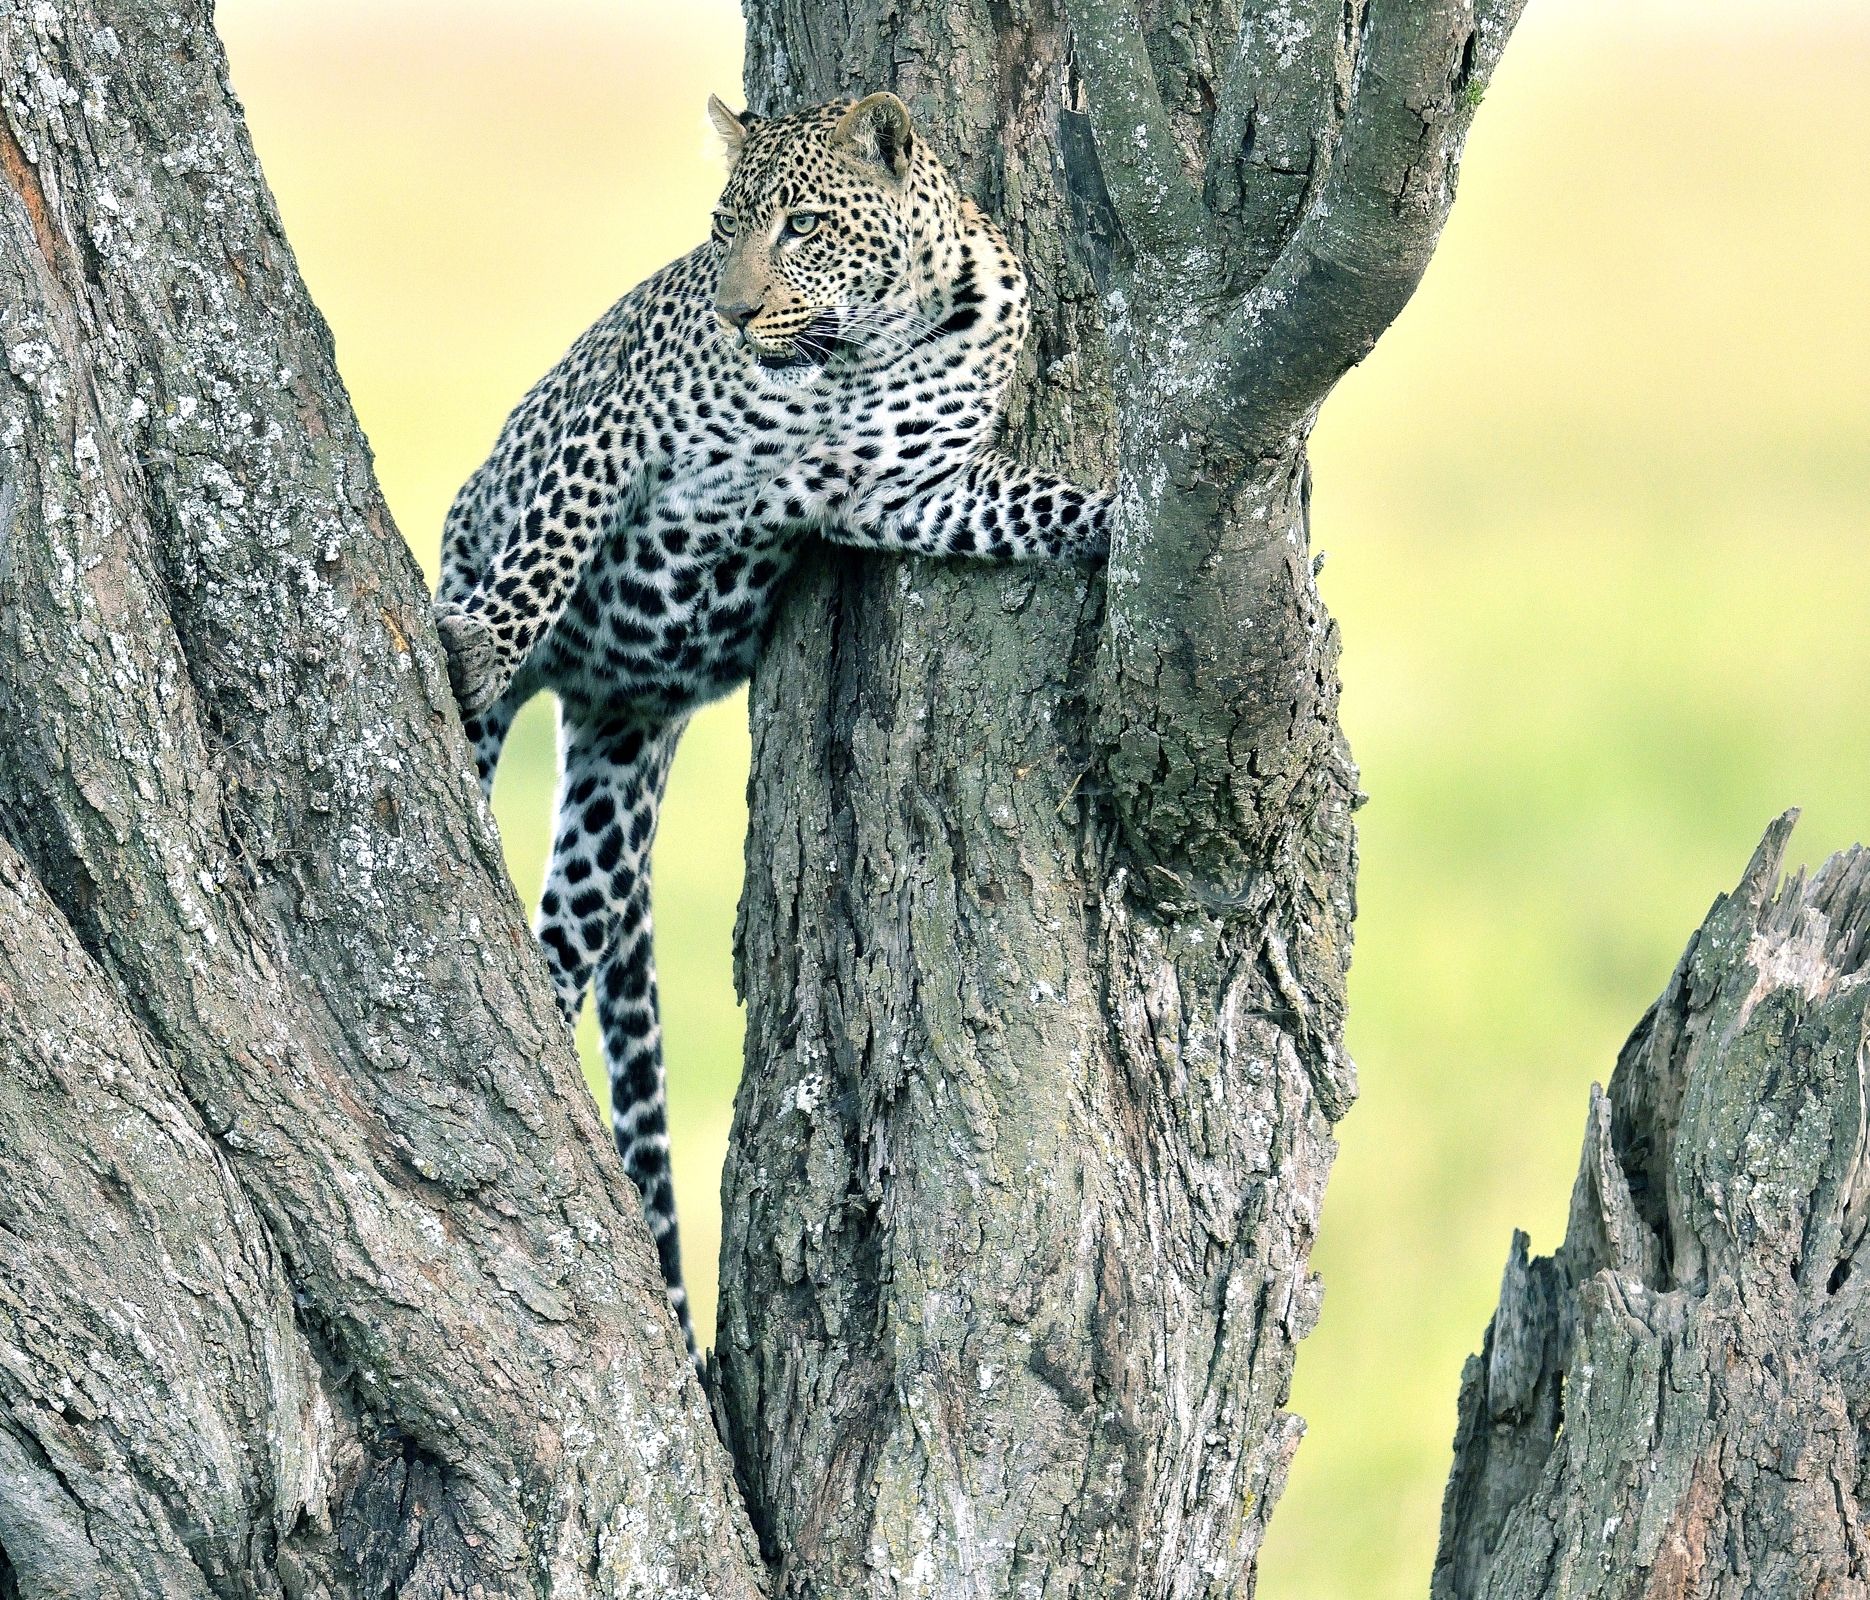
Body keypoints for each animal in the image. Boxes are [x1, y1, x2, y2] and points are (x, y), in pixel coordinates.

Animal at [432, 90, 1111, 1353]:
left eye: (801, 226)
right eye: (724, 228)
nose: (737, 307)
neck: (866, 348)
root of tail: (597, 686)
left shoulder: (913, 494)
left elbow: (1038, 503)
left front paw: (1124, 515)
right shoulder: (620, 424)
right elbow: (552, 539)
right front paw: (486, 639)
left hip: (614, 800)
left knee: (571, 937)